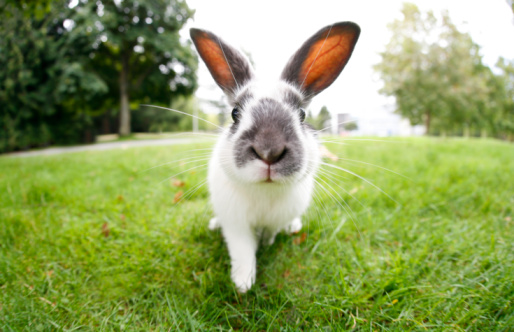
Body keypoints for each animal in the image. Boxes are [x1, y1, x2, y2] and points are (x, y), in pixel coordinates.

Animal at [189, 22, 360, 294]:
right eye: (235, 113)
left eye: (302, 114)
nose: (269, 151)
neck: (265, 191)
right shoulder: (236, 225)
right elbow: (243, 252)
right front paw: (243, 284)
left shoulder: (274, 220)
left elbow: (269, 234)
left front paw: (266, 245)